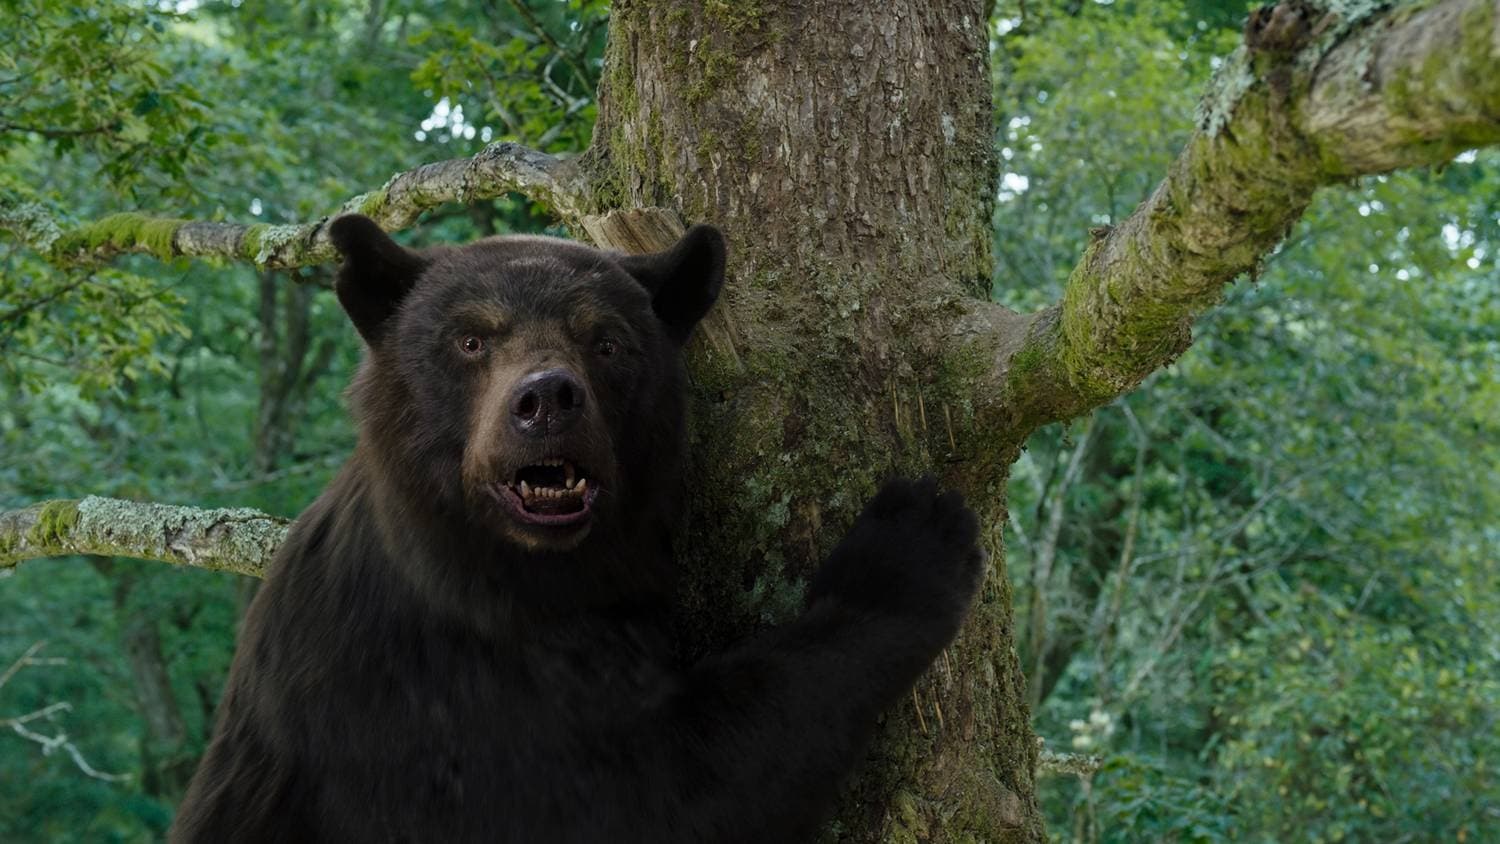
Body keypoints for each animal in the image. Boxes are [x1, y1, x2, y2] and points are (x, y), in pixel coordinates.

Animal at [172, 217, 984, 844]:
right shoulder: (427, 702)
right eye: (471, 339)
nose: (546, 401)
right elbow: (655, 791)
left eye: (607, 340)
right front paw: (907, 546)